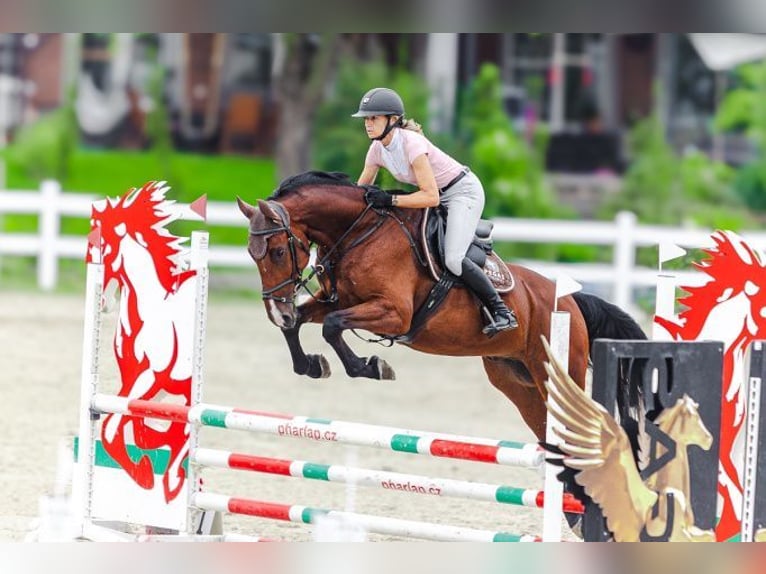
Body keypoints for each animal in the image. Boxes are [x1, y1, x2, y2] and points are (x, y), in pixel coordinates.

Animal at [236, 171, 647, 441]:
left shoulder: (393, 313)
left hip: (559, 372)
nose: (277, 310)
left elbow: (332, 325)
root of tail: (572, 302)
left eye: (277, 251)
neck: (358, 232)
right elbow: (304, 324)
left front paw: (371, 366)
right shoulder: (339, 300)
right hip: (518, 380)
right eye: (252, 254)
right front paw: (311, 364)